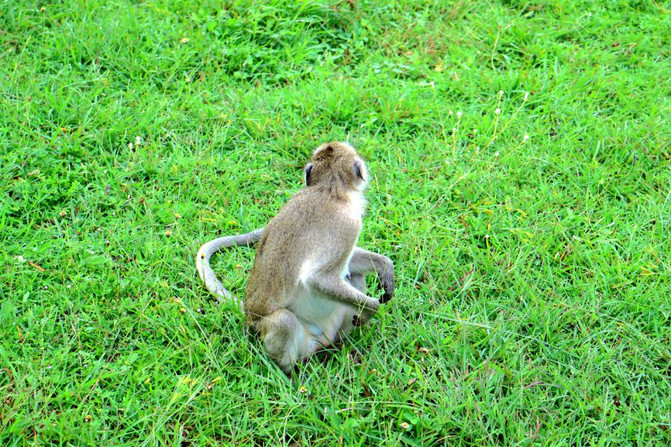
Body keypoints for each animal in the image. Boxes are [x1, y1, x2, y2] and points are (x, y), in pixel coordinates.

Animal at [196, 142, 394, 372]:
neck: (330, 189)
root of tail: (249, 316)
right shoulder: (347, 224)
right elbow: (317, 279)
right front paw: (372, 308)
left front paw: (385, 266)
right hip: (286, 336)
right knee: (285, 321)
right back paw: (291, 373)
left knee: (354, 276)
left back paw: (340, 345)